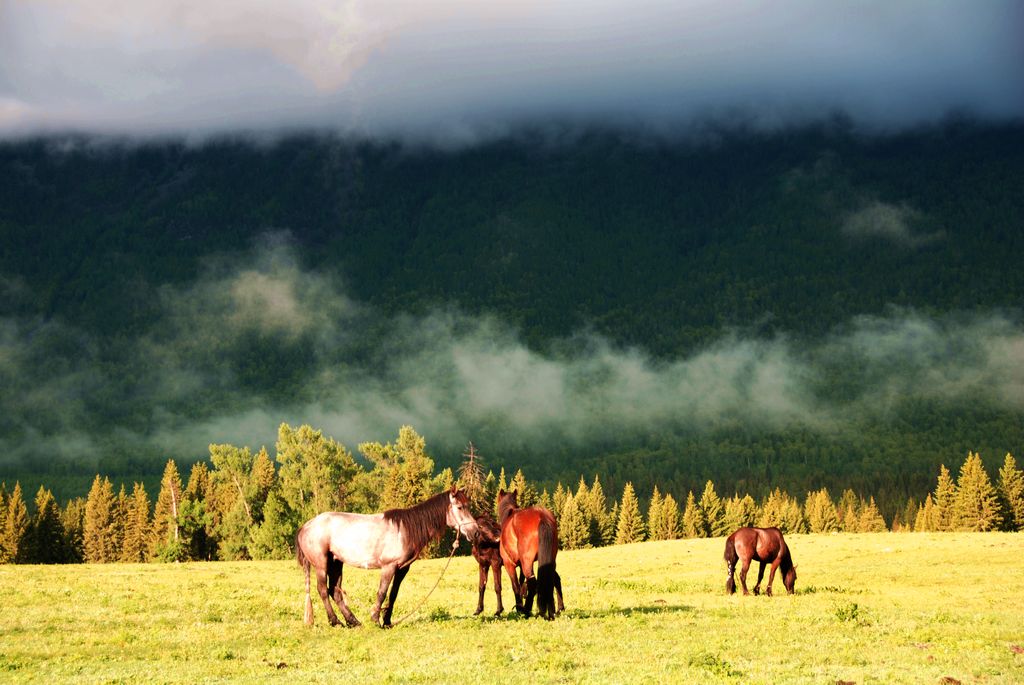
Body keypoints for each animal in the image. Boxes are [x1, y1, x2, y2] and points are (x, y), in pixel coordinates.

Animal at [292, 483, 475, 626]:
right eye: (460, 507)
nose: (475, 532)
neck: (405, 530)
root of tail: (305, 526)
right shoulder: (388, 567)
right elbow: (382, 592)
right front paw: (375, 619)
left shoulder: (402, 569)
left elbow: (393, 594)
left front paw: (387, 621)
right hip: (321, 565)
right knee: (323, 590)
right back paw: (335, 621)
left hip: (336, 563)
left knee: (335, 592)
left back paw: (353, 622)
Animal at [497, 485, 565, 618]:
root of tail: (541, 516)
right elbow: (522, 583)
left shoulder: (509, 564)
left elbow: (516, 585)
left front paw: (519, 607)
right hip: (549, 560)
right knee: (553, 579)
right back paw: (555, 610)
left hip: (527, 562)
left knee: (533, 583)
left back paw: (527, 611)